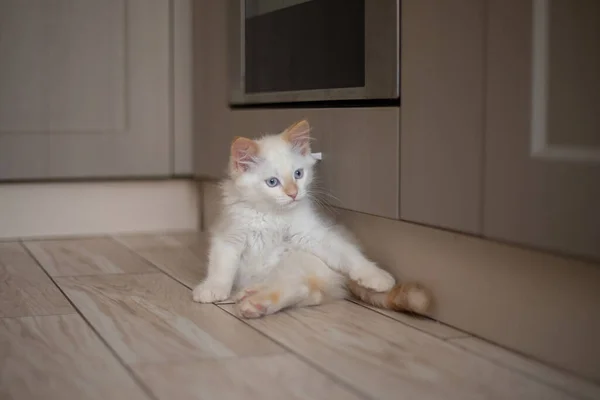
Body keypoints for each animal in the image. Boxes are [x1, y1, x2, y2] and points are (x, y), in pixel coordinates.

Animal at [192, 119, 432, 318]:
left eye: (298, 174)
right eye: (272, 182)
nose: (293, 193)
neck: (272, 215)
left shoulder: (312, 235)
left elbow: (348, 254)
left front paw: (375, 275)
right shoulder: (229, 234)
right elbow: (221, 265)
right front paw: (212, 288)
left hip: (295, 260)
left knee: (300, 287)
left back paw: (256, 302)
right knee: (307, 291)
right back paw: (252, 298)